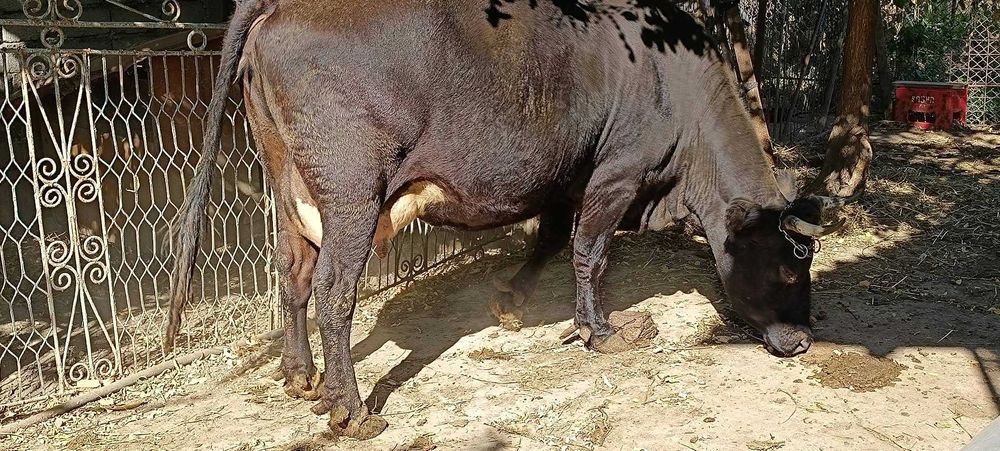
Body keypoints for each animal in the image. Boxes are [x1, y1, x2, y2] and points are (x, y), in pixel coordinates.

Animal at [165, 0, 856, 439]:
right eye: (790, 269)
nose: (803, 342)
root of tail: (284, 7)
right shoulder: (616, 172)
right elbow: (589, 252)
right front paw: (601, 331)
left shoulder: (566, 174)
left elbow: (550, 241)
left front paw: (512, 301)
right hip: (353, 195)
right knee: (336, 292)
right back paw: (351, 411)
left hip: (289, 188)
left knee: (294, 275)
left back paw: (300, 375)